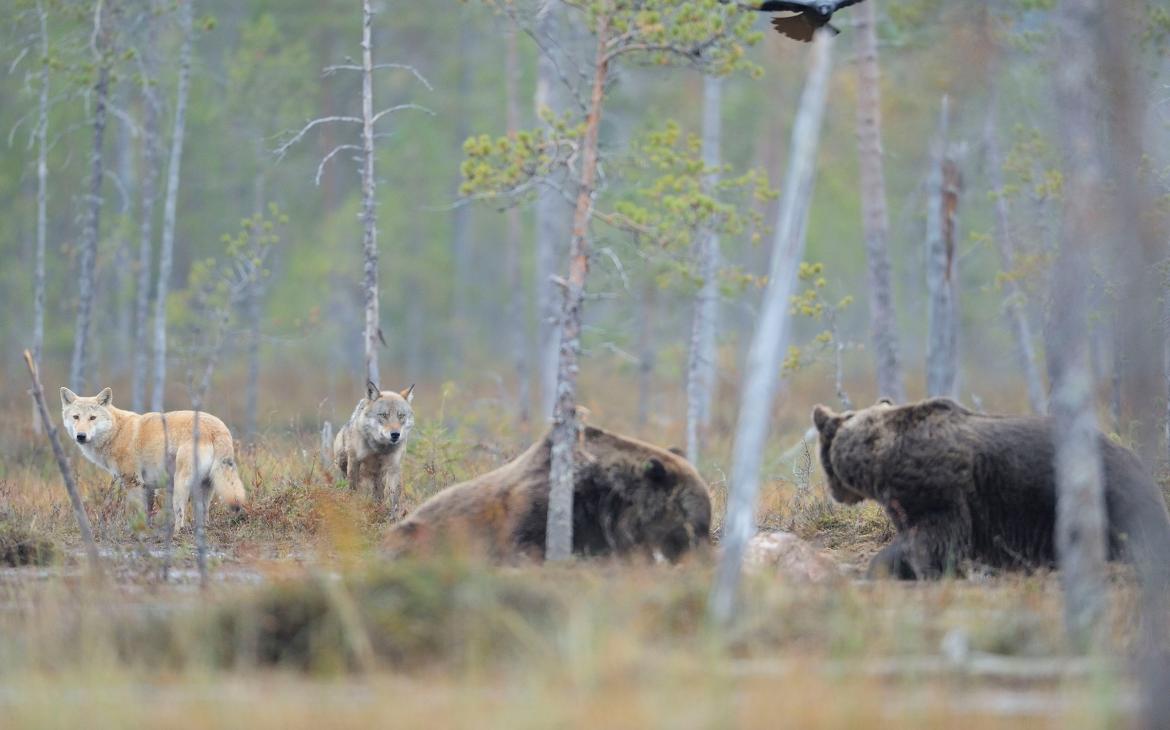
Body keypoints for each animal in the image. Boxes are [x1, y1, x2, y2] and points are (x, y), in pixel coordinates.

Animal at [59, 388, 246, 531]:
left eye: (92, 418)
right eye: (76, 417)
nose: (81, 436)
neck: (116, 433)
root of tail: (217, 428)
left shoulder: (133, 483)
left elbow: (137, 512)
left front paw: (136, 531)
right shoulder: (148, 487)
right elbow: (148, 512)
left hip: (180, 486)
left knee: (180, 515)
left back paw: (176, 533)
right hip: (205, 487)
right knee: (203, 514)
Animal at [332, 379, 414, 510]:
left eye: (401, 415)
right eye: (384, 415)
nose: (395, 434)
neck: (379, 448)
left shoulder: (394, 467)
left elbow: (393, 497)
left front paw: (393, 514)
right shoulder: (354, 461)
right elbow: (353, 488)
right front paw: (352, 505)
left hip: (378, 476)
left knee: (378, 494)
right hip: (342, 463)